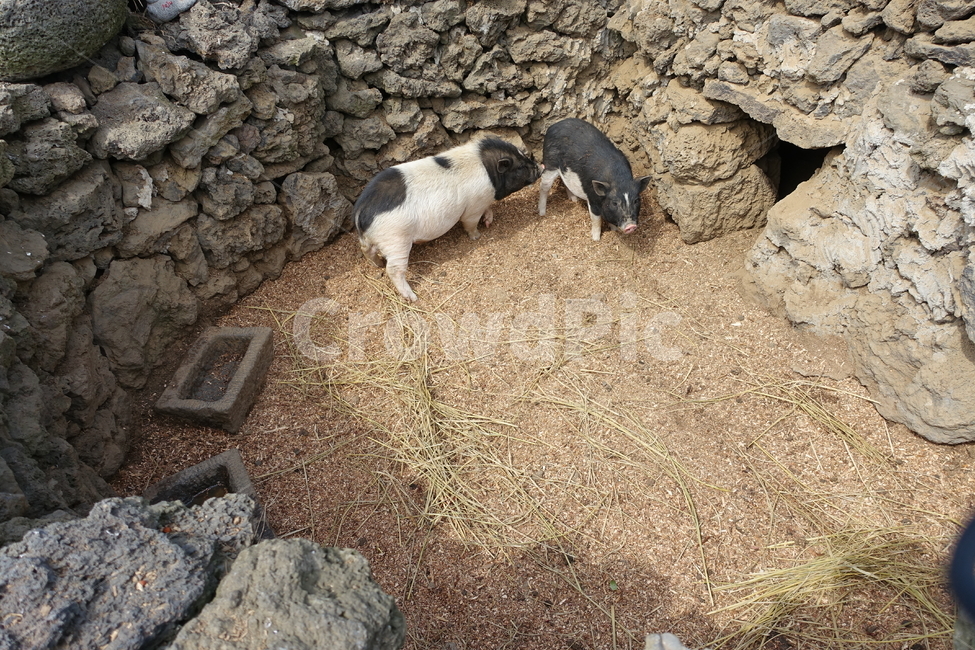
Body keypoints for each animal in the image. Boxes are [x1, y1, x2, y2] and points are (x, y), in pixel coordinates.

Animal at [354, 136, 540, 302]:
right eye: (520, 166)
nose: (539, 168)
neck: (490, 172)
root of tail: (361, 211)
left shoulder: (483, 202)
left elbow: (488, 209)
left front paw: (488, 222)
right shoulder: (474, 207)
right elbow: (470, 223)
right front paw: (477, 236)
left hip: (372, 239)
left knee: (366, 250)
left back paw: (377, 264)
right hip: (396, 239)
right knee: (393, 269)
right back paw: (412, 298)